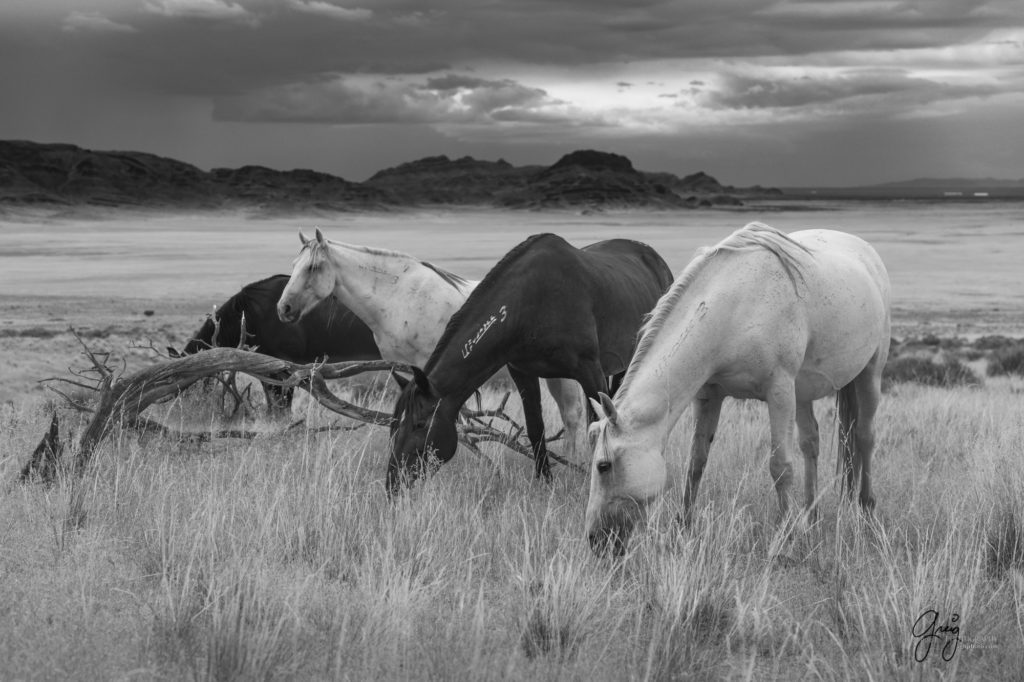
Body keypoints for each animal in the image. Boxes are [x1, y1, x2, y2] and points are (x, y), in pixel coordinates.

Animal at [387, 232, 675, 489]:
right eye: (394, 425)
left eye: (420, 424)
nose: (393, 482)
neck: (531, 304)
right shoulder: (523, 372)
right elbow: (536, 427)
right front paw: (544, 481)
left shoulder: (589, 371)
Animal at [589, 223, 892, 552]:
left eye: (603, 466)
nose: (595, 539)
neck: (735, 307)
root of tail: (865, 250)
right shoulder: (709, 395)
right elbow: (697, 461)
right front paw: (683, 527)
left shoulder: (779, 391)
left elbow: (780, 466)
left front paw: (784, 537)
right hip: (803, 392)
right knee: (811, 443)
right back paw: (810, 520)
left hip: (870, 373)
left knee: (864, 437)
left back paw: (866, 511)